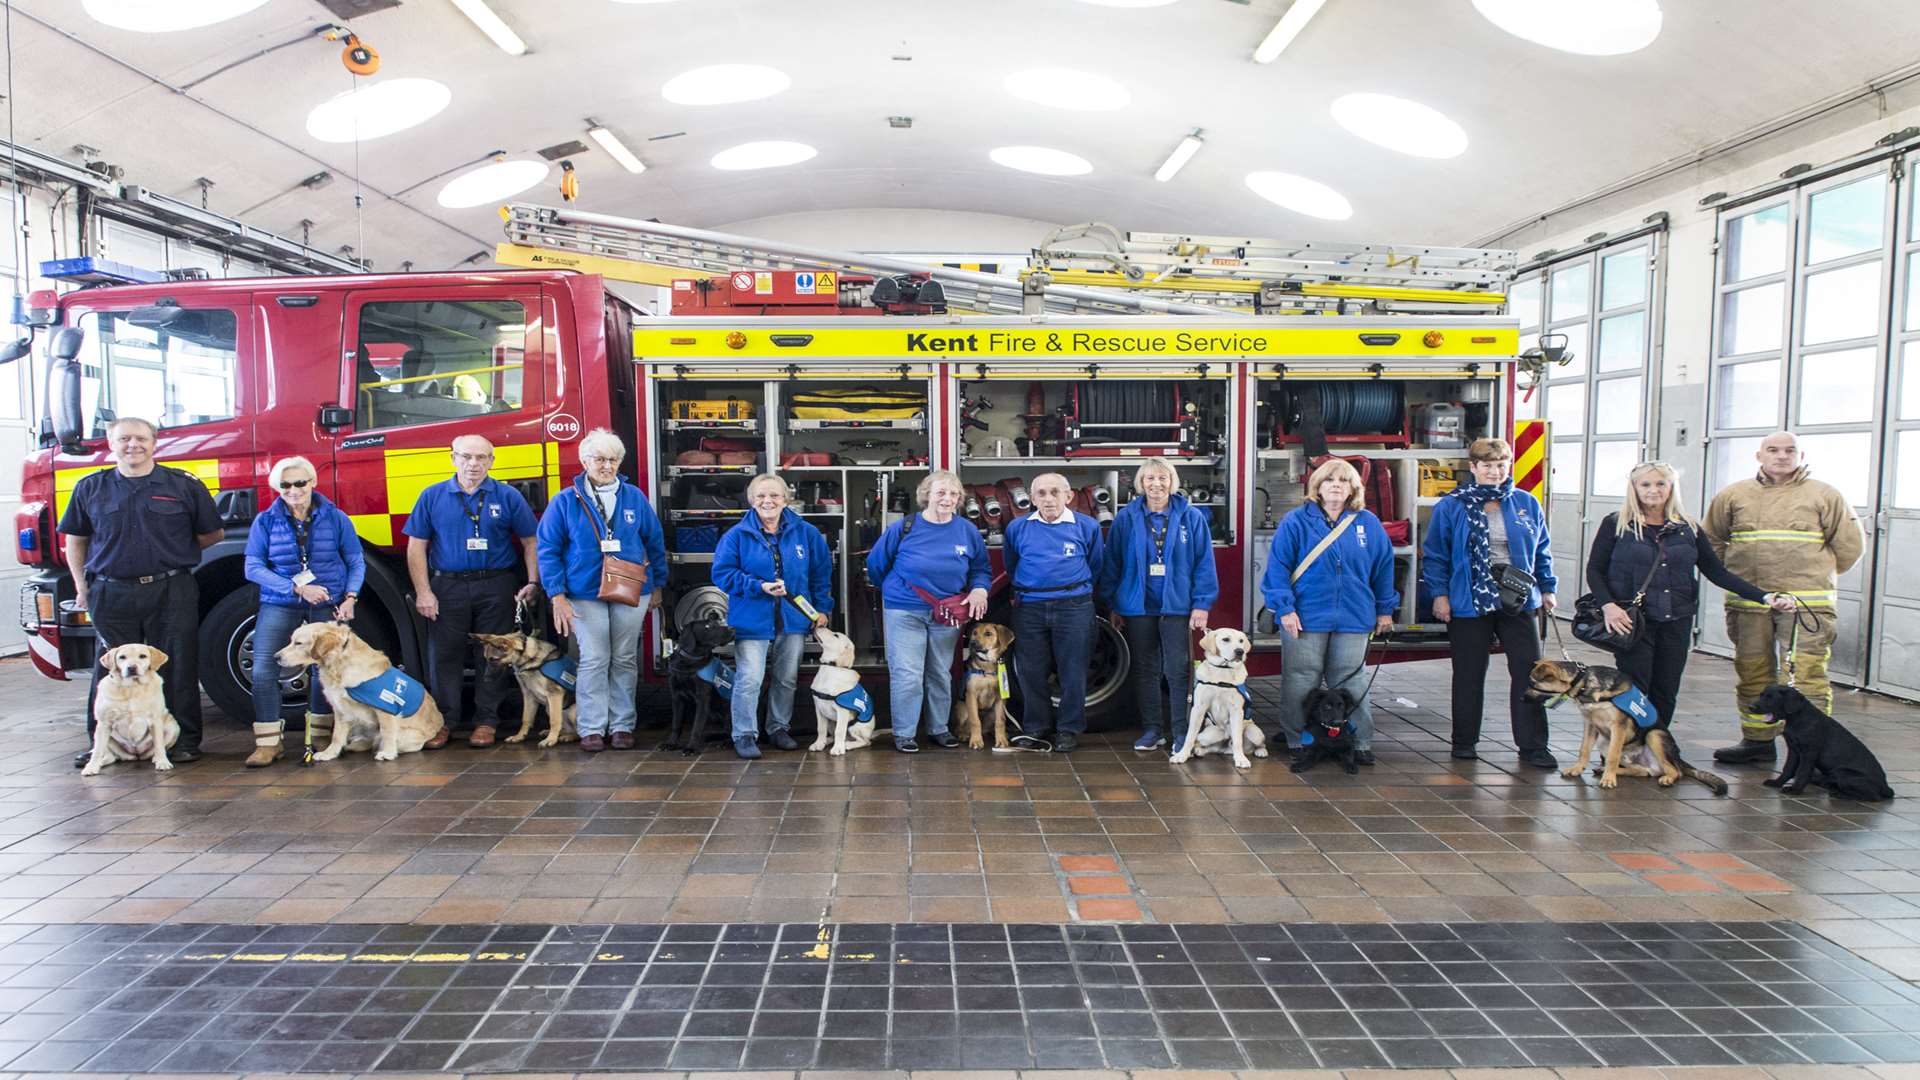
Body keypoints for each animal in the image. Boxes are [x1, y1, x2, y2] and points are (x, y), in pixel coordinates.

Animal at [82, 638, 180, 772]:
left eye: (142, 656)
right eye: (122, 657)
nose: (131, 667)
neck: (132, 688)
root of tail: (136, 755)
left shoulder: (155, 721)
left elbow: (159, 745)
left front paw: (162, 762)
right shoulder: (104, 723)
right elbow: (97, 751)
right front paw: (91, 767)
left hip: (173, 727)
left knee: (156, 749)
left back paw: (156, 758)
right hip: (102, 735)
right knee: (108, 755)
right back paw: (100, 762)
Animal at [278, 618, 445, 760]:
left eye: (298, 643)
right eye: (291, 641)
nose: (276, 657)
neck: (338, 663)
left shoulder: (386, 707)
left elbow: (387, 732)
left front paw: (388, 753)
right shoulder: (340, 708)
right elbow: (336, 735)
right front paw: (329, 753)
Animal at [672, 611, 737, 753]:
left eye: (717, 623)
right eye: (707, 627)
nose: (732, 629)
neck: (690, 661)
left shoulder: (702, 699)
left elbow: (696, 727)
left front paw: (691, 747)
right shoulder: (677, 697)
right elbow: (676, 723)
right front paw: (670, 743)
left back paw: (727, 743)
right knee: (726, 731)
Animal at [1167, 626, 1259, 768]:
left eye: (1241, 641)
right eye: (1226, 639)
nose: (1240, 651)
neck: (1222, 670)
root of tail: (1226, 747)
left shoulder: (1236, 711)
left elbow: (1238, 739)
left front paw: (1241, 759)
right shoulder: (1198, 708)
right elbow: (1190, 736)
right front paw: (1182, 755)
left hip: (1254, 733)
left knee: (1255, 743)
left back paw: (1260, 752)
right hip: (1210, 734)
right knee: (1206, 745)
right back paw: (1199, 751)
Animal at [1758, 680, 1889, 799]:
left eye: (1770, 698)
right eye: (1761, 695)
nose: (1753, 707)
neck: (1798, 718)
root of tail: (1886, 787)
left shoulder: (1809, 753)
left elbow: (1802, 771)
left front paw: (1795, 789)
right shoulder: (1793, 750)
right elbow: (1788, 769)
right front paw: (1777, 783)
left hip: (1842, 773)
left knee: (1873, 797)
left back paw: (1840, 794)